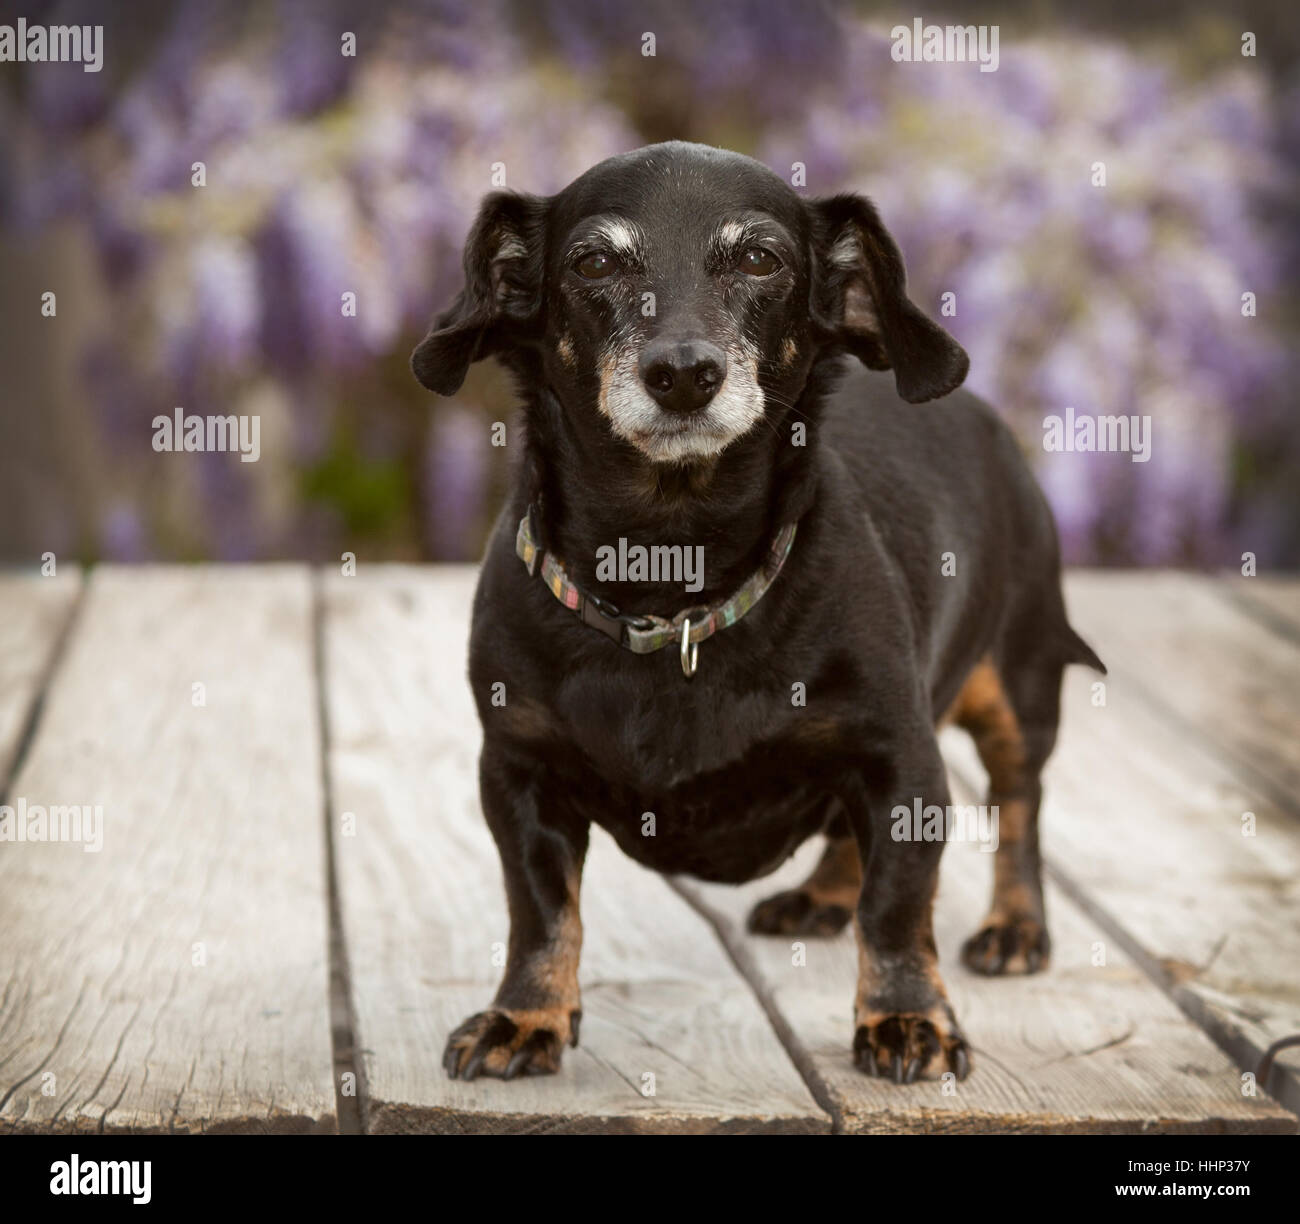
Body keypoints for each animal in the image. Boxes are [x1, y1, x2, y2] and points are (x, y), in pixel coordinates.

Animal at [410, 139, 1102, 1086]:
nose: (683, 375)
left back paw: (1016, 927)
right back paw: (821, 896)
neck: (672, 575)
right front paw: (524, 1016)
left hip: (1016, 685)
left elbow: (898, 906)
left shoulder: (901, 760)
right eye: (593, 263)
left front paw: (906, 1018)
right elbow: (542, 911)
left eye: (760, 258)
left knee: (1021, 800)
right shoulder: (519, 772)